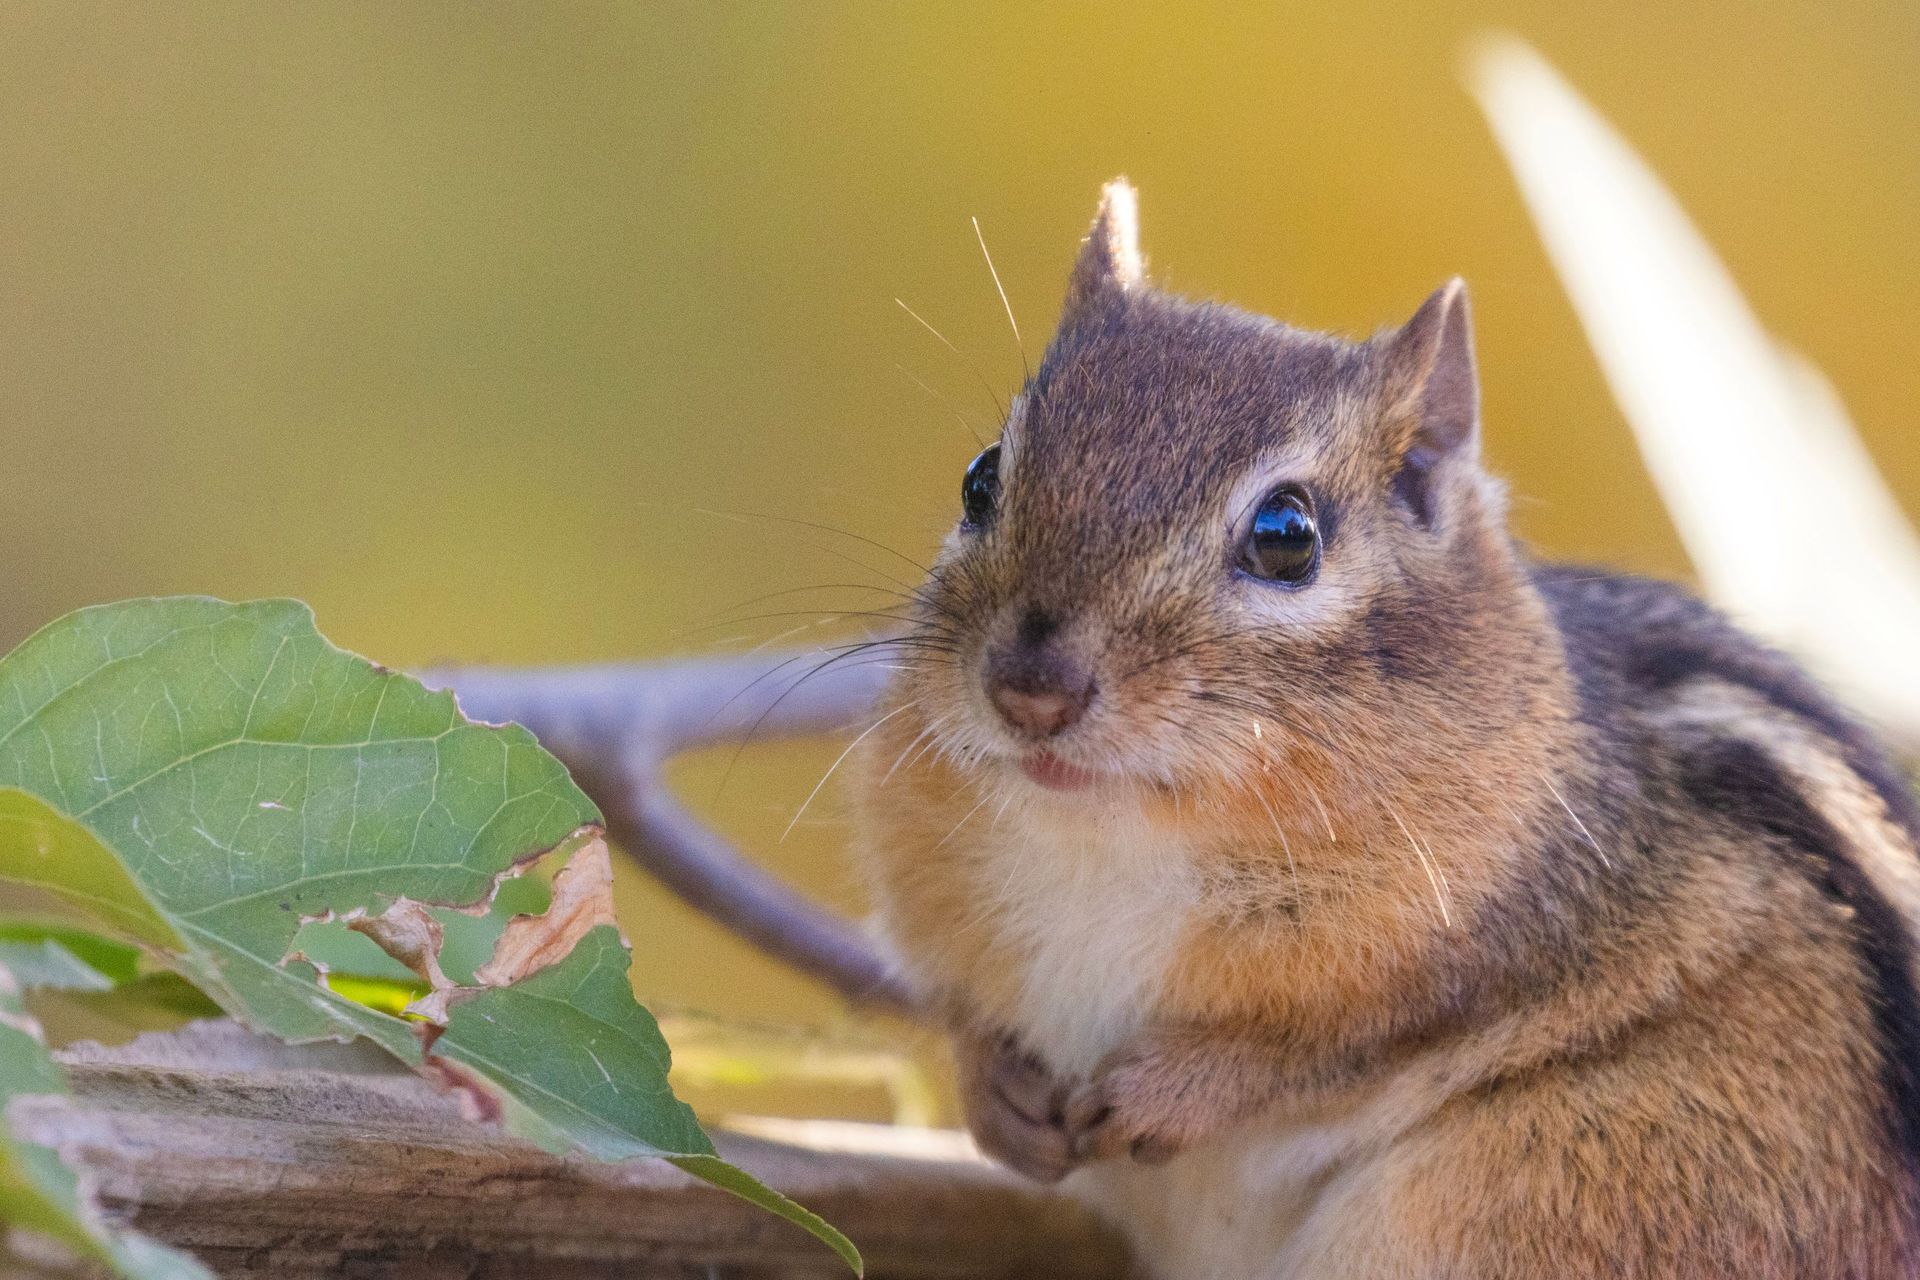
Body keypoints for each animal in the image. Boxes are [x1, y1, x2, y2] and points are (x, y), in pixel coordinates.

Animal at [848, 179, 1920, 1278]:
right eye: (982, 479)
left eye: (1287, 536)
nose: (1031, 690)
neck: (1113, 836)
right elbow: (969, 1020)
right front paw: (998, 1094)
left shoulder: (1514, 934)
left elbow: (1333, 1048)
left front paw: (1167, 1090)